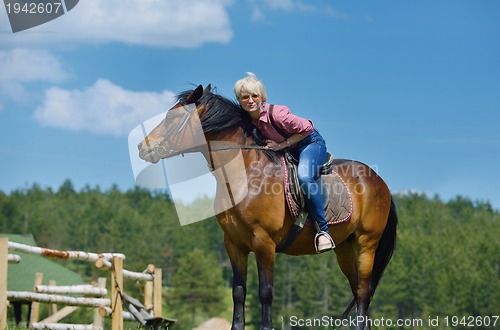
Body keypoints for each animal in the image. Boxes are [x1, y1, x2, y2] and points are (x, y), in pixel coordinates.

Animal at [138, 85, 398, 330]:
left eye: (171, 118)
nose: (142, 147)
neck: (245, 174)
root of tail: (380, 181)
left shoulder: (264, 243)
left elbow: (265, 293)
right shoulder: (234, 244)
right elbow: (238, 292)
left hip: (366, 243)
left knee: (363, 293)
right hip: (345, 247)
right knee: (359, 291)